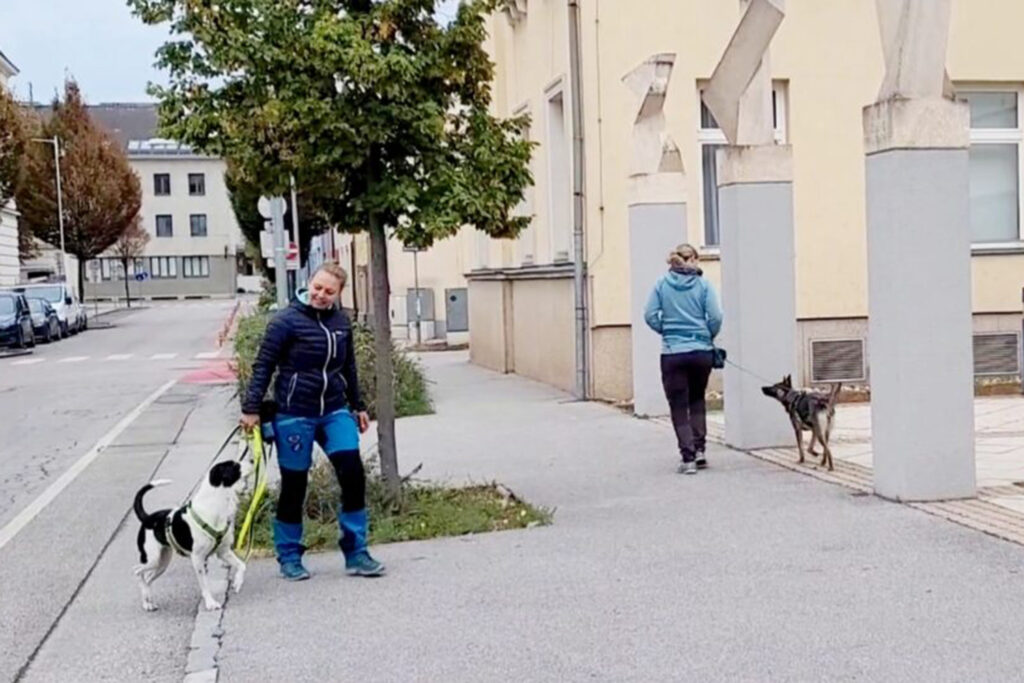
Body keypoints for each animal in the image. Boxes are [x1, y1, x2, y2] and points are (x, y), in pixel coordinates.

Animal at [133, 458, 250, 614]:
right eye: (235, 465)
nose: (252, 460)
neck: (215, 505)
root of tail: (147, 518)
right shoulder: (198, 559)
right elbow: (205, 584)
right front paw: (211, 603)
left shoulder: (224, 552)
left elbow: (242, 565)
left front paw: (237, 583)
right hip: (152, 559)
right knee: (137, 572)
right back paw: (146, 602)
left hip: (162, 563)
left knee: (148, 578)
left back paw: (148, 602)